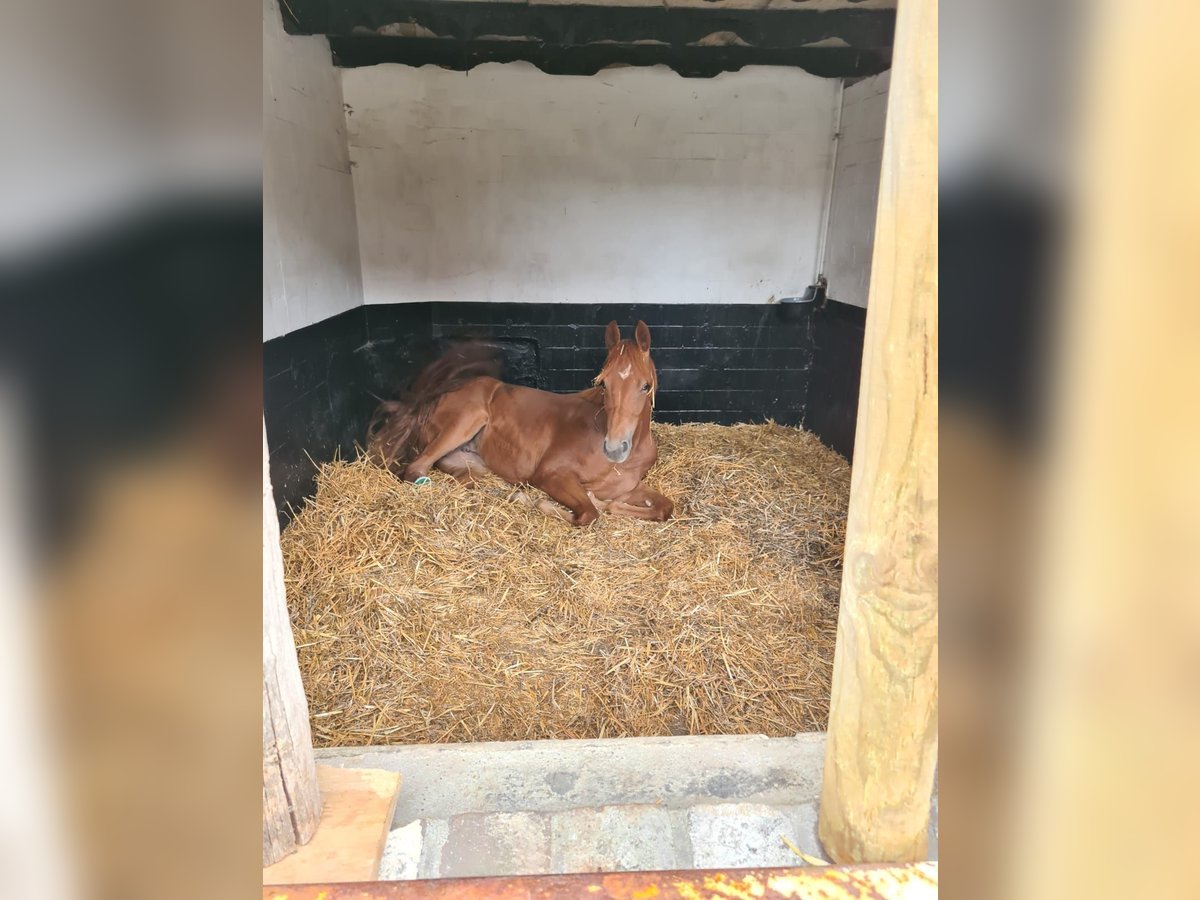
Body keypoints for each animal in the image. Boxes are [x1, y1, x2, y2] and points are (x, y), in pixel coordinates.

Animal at [367, 321, 674, 527]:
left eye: (645, 386)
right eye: (603, 384)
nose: (614, 448)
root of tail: (436, 395)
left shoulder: (630, 487)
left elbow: (664, 507)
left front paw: (610, 503)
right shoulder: (550, 475)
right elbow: (588, 513)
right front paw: (542, 502)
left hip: (473, 465)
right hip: (466, 420)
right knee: (415, 470)